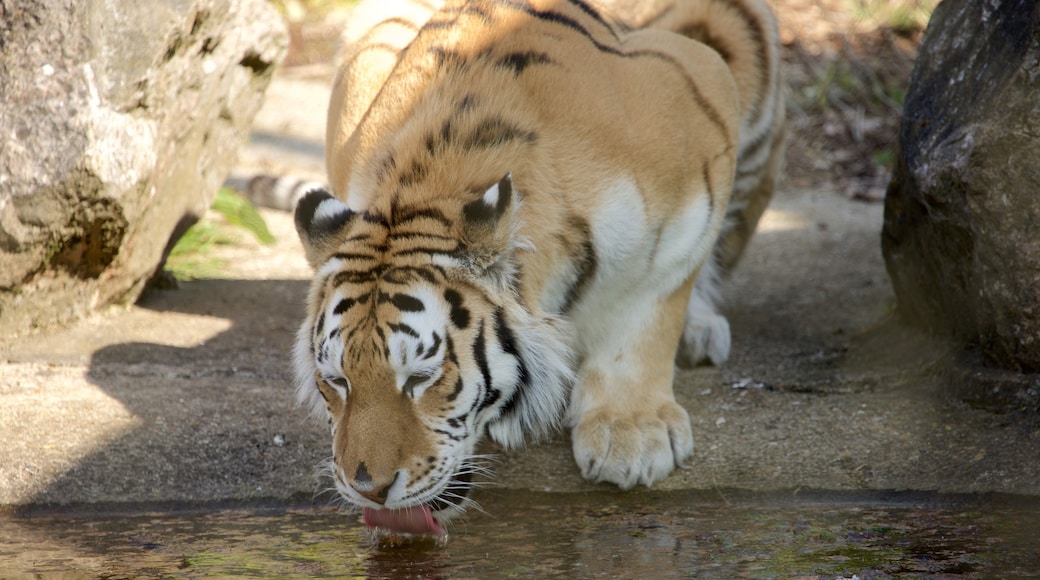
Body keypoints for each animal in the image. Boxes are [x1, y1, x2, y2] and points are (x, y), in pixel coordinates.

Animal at [291, 0, 782, 536]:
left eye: (421, 378)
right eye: (337, 380)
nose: (368, 489)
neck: (429, 188)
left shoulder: (697, 127)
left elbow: (653, 301)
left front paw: (631, 435)